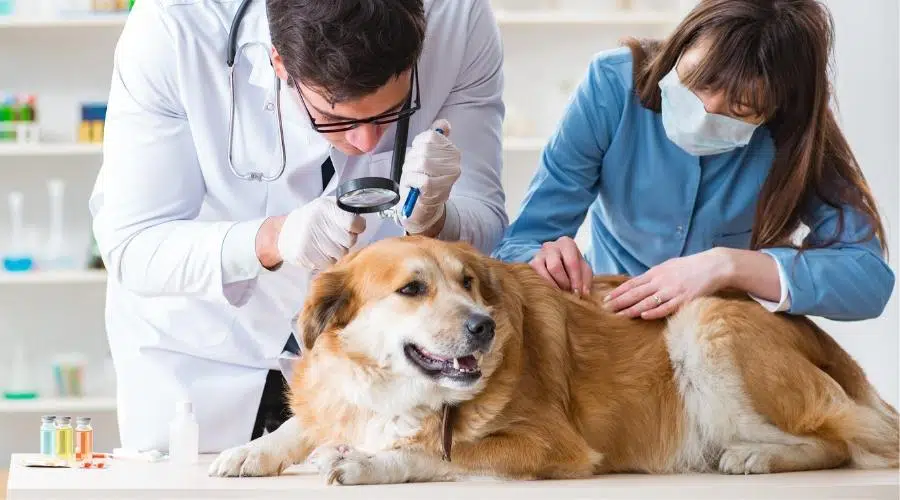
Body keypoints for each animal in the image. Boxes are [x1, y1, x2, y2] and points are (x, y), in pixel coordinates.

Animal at [209, 236, 892, 486]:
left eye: (468, 283)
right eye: (412, 288)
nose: (483, 327)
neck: (394, 391)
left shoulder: (552, 446)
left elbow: (438, 454)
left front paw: (367, 462)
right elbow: (302, 424)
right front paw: (249, 450)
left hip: (703, 323)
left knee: (838, 441)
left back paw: (756, 456)